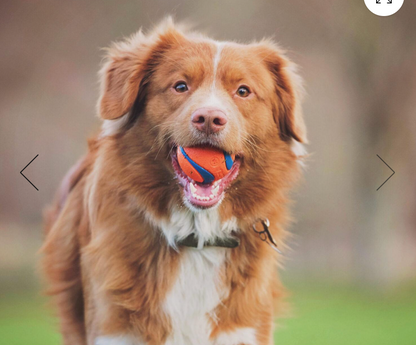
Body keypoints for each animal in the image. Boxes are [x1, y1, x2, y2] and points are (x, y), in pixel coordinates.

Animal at [42, 18, 308, 344]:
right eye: (180, 86)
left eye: (243, 91)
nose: (209, 119)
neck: (196, 236)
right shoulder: (113, 329)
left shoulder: (244, 330)